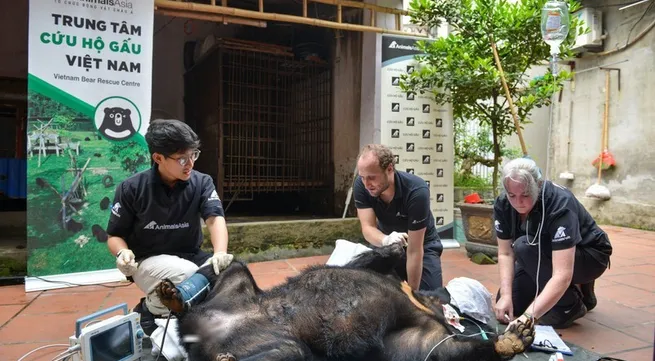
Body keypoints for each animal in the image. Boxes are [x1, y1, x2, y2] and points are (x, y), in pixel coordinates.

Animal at [156, 242, 536, 360]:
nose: (450, 311)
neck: (422, 302)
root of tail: (198, 339)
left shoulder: (421, 339)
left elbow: (445, 351)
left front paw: (512, 339)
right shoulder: (383, 275)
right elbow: (365, 261)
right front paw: (396, 245)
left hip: (284, 348)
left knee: (287, 353)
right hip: (234, 287)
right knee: (233, 266)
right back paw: (174, 298)